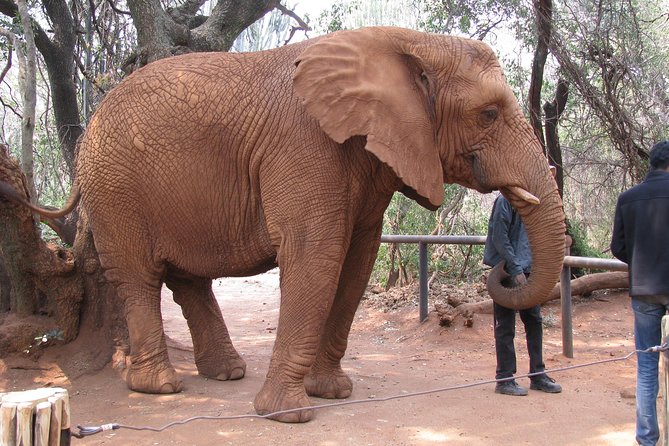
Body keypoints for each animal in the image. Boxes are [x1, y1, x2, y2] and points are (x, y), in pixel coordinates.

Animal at [0, 26, 565, 422]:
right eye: (489, 113)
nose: (504, 269)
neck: (404, 42)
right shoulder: (307, 147)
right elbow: (316, 256)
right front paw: (290, 415)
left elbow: (355, 262)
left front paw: (333, 392)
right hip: (117, 190)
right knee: (140, 277)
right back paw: (160, 388)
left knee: (188, 279)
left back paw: (226, 374)